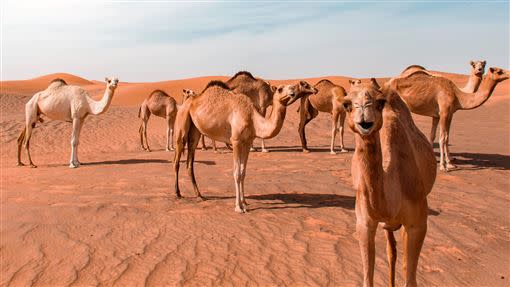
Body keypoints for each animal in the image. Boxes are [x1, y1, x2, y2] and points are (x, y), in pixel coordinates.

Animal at [173, 80, 316, 213]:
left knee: (189, 162)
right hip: (182, 123)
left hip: (195, 131)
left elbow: (243, 172)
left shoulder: (247, 142)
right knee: (177, 159)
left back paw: (199, 195)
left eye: (292, 87)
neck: (253, 119)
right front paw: (238, 207)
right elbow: (236, 173)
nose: (292, 92)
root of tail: (187, 102)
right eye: (280, 89)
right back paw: (177, 193)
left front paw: (244, 202)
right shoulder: (236, 141)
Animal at [342, 79, 434, 287]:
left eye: (380, 102)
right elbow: (368, 279)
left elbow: (411, 279)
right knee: (391, 251)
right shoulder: (364, 223)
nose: (364, 110)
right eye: (347, 104)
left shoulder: (418, 224)